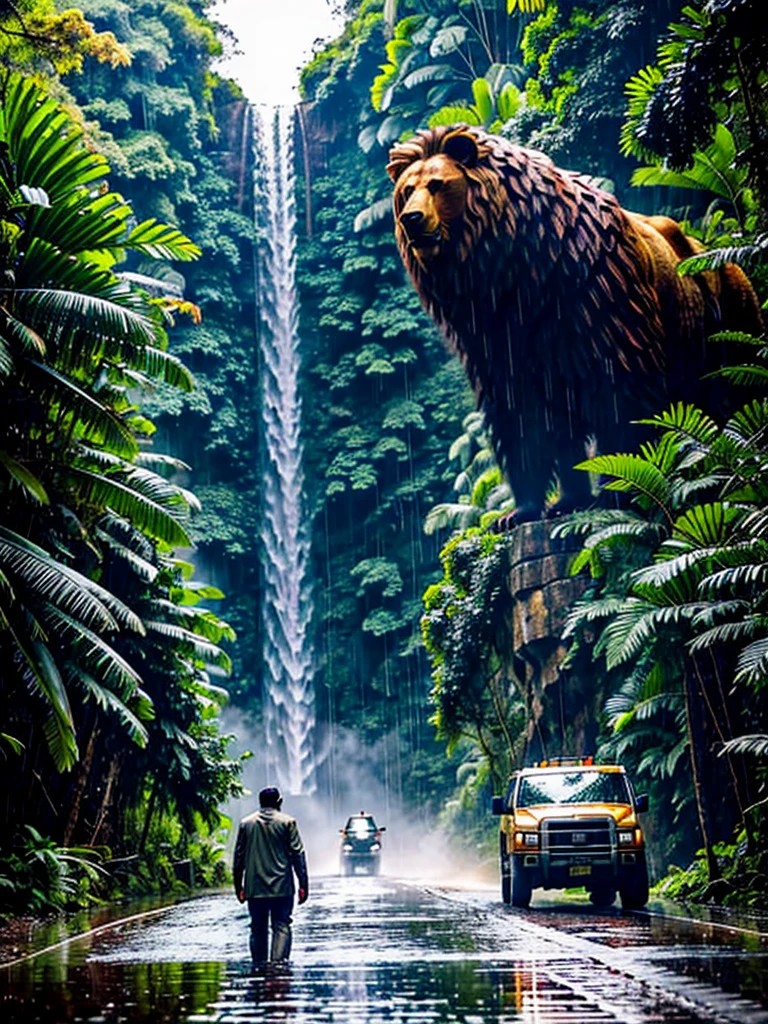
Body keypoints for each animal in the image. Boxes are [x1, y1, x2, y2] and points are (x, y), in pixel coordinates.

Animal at [391, 125, 765, 520]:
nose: (411, 219)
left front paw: (617, 490)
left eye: (436, 184)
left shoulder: (600, 309)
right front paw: (531, 509)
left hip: (730, 315)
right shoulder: (497, 338)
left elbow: (619, 396)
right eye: (407, 191)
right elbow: (522, 417)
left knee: (740, 391)